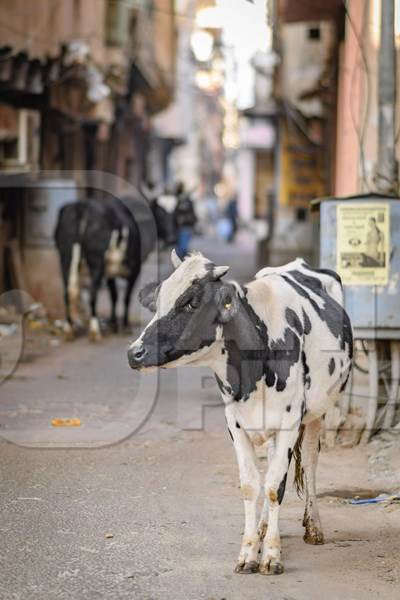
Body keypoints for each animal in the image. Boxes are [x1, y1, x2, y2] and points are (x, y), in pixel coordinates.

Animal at [126, 250, 352, 576]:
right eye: (158, 300)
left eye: (192, 302)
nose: (134, 353)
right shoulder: (235, 423)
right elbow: (251, 486)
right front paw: (249, 552)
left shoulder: (289, 421)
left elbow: (274, 487)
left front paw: (271, 556)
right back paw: (263, 527)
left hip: (318, 412)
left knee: (309, 462)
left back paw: (314, 527)